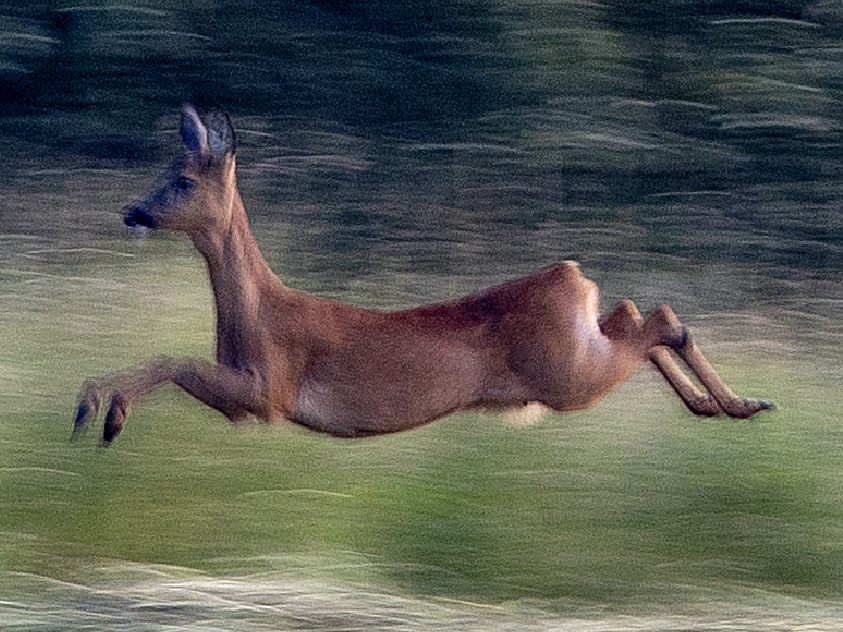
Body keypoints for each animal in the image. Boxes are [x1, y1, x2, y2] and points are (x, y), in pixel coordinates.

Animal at [71, 105, 772, 444]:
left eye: (184, 180)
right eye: (166, 169)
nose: (132, 211)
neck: (259, 311)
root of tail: (571, 275)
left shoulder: (271, 394)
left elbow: (175, 359)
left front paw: (99, 411)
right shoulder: (249, 401)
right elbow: (177, 361)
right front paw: (95, 407)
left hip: (568, 375)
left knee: (658, 320)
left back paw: (742, 402)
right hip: (580, 350)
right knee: (633, 313)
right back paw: (721, 405)